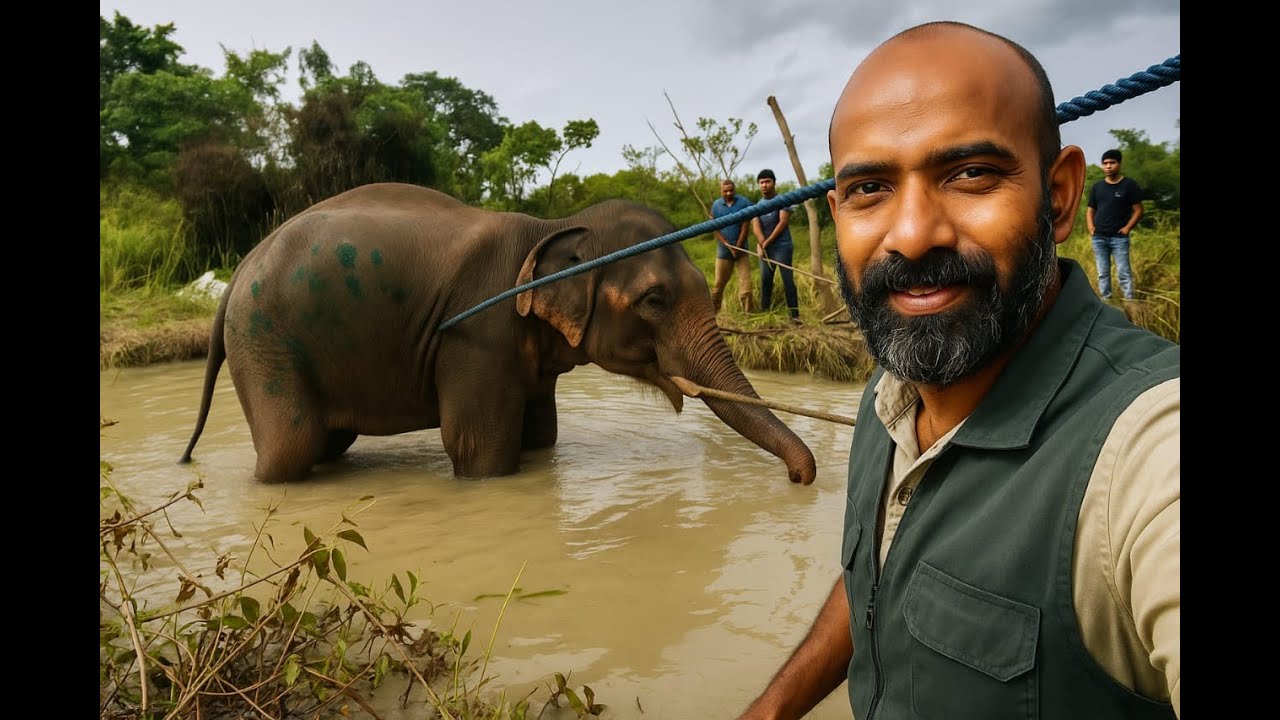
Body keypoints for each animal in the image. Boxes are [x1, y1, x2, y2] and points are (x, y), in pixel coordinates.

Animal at [180, 182, 817, 485]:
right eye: (655, 300)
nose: (800, 477)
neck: (555, 226)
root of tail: (238, 272)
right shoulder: (476, 333)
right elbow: (477, 448)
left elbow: (542, 436)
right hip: (264, 342)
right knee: (293, 447)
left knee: (327, 442)